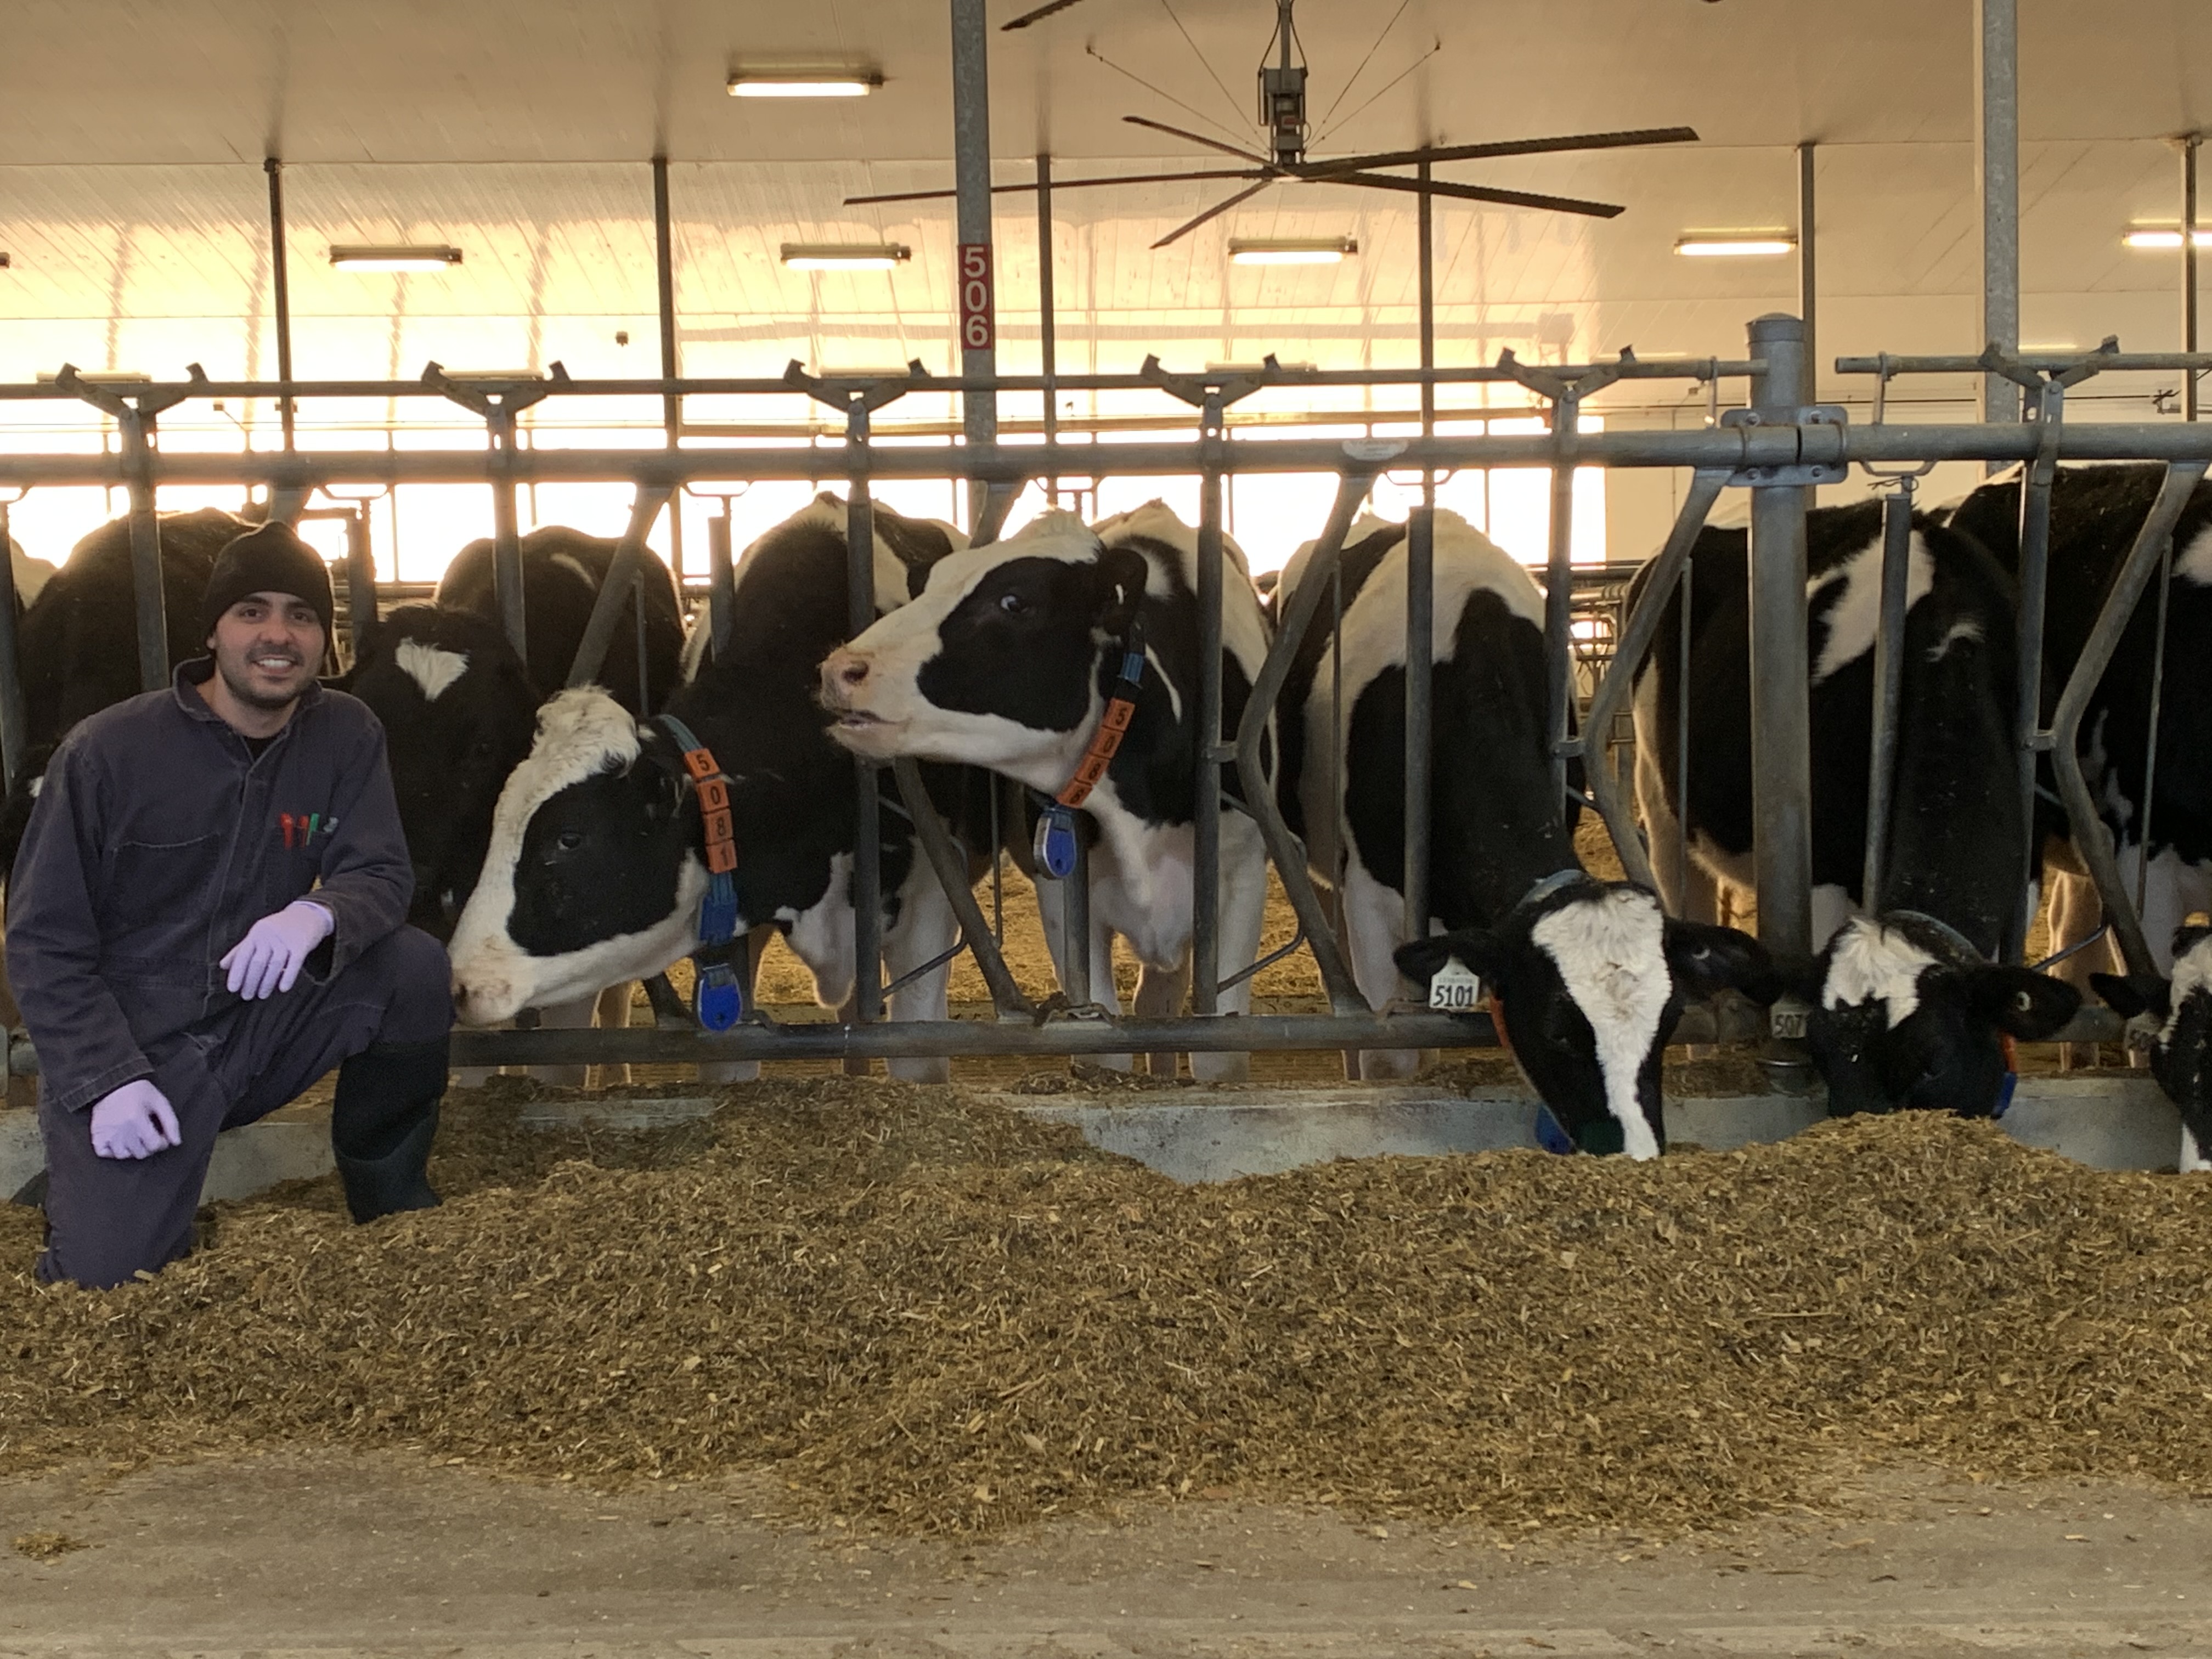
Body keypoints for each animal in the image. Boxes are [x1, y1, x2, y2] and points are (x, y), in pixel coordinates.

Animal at [818, 500, 1274, 1084]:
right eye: (929, 585)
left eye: (1016, 602)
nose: (840, 669)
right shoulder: (1061, 895)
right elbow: (1103, 1044)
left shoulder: (1240, 878)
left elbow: (1221, 1051)